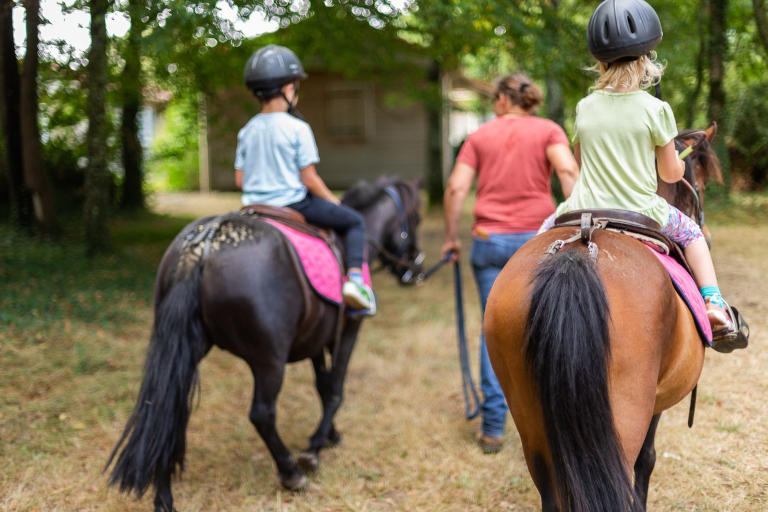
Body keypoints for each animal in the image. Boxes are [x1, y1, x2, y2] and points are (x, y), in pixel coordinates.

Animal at [105, 178, 424, 510]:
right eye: (416, 218)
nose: (415, 267)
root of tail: (204, 245)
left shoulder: (315, 341)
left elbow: (322, 386)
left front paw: (328, 436)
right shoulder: (349, 330)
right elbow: (335, 389)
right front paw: (315, 448)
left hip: (185, 348)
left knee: (170, 410)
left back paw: (163, 496)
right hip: (269, 360)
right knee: (262, 414)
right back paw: (291, 473)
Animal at [486, 127, 720, 508]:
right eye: (699, 180)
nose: (708, 237)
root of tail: (575, 256)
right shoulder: (655, 403)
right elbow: (647, 461)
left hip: (530, 420)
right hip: (622, 420)